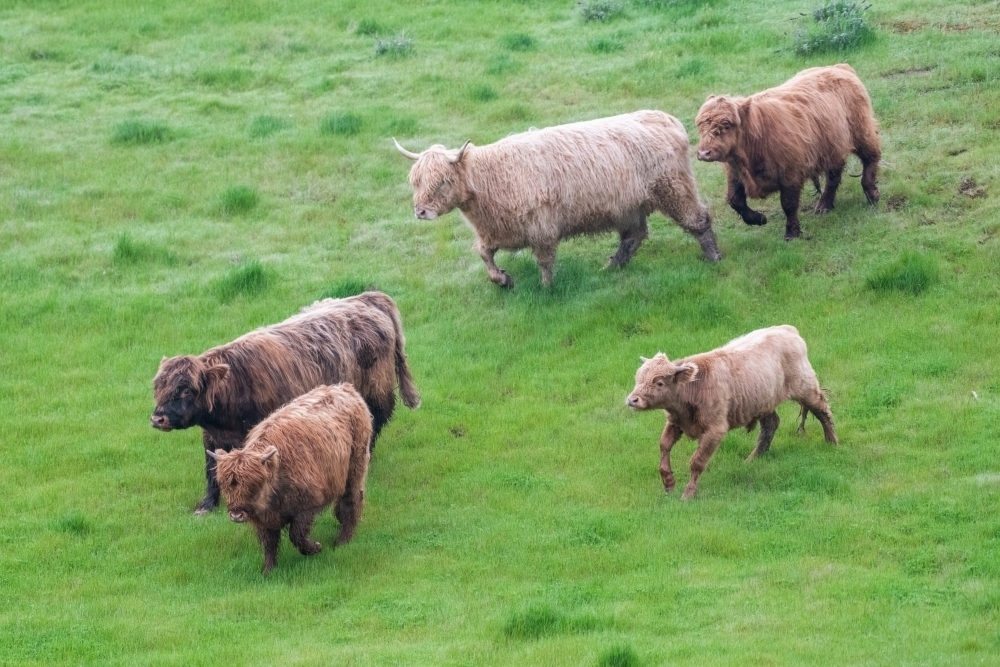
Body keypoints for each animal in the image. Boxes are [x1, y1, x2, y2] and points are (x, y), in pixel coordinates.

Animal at [151, 291, 419, 515]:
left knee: (374, 424)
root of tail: (367, 297)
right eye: (157, 387)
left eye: (186, 390)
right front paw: (206, 506)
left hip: (377, 392)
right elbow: (211, 470)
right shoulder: (212, 437)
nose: (157, 418)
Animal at [208, 384, 371, 574]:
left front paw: (315, 548)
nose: (236, 514)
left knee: (352, 499)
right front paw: (268, 570)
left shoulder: (307, 505)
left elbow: (297, 535)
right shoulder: (265, 519)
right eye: (225, 485)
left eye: (254, 484)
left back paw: (343, 540)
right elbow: (269, 543)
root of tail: (344, 388)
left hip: (355, 467)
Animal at [394, 110, 721, 288]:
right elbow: (484, 256)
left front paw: (546, 288)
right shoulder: (496, 230)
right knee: (634, 235)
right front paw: (504, 280)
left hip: (674, 188)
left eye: (443, 182)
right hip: (628, 206)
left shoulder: (541, 228)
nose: (421, 211)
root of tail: (666, 119)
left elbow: (544, 261)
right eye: (416, 181)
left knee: (698, 219)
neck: (491, 178)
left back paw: (713, 256)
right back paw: (613, 265)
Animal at [626, 325, 838, 499]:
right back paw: (752, 460)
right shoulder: (675, 423)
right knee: (771, 425)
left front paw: (688, 493)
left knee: (822, 410)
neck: (696, 385)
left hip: (806, 388)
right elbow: (664, 446)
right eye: (638, 378)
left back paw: (832, 442)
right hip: (763, 402)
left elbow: (697, 461)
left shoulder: (715, 430)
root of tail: (788, 330)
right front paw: (669, 483)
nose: (632, 400)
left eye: (659, 382)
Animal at [695, 64, 881, 241]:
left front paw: (791, 233)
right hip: (833, 148)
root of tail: (839, 67)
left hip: (862, 132)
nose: (704, 153)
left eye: (726, 126)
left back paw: (872, 194)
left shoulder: (791, 174)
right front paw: (758, 219)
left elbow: (788, 204)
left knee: (871, 158)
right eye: (700, 126)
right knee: (834, 177)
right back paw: (824, 205)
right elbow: (735, 200)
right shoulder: (735, 174)